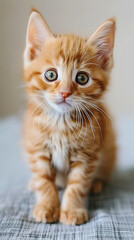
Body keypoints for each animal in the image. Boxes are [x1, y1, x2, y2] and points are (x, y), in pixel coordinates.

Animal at [22, 9, 116, 225]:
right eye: (51, 75)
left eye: (82, 78)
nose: (65, 92)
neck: (60, 123)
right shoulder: (37, 148)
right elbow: (44, 181)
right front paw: (47, 206)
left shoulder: (88, 154)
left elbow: (77, 184)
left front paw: (73, 210)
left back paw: (96, 184)